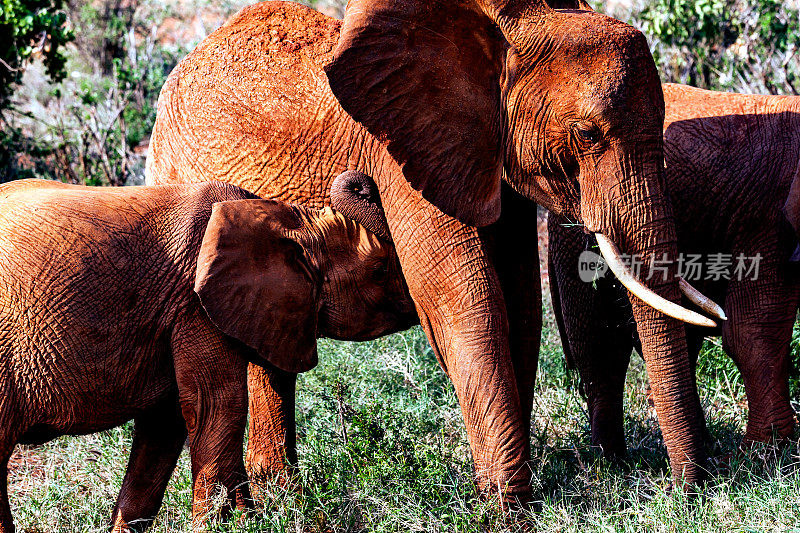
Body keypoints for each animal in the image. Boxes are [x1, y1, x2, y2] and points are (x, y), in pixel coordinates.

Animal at [0, 174, 412, 528]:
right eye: (381, 270)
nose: (362, 182)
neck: (284, 218)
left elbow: (164, 425)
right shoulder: (194, 305)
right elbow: (218, 404)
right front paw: (240, 524)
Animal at [147, 0, 716, 494]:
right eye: (587, 134)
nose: (687, 487)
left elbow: (520, 303)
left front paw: (503, 487)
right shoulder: (400, 158)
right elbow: (469, 300)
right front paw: (509, 506)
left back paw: (278, 491)